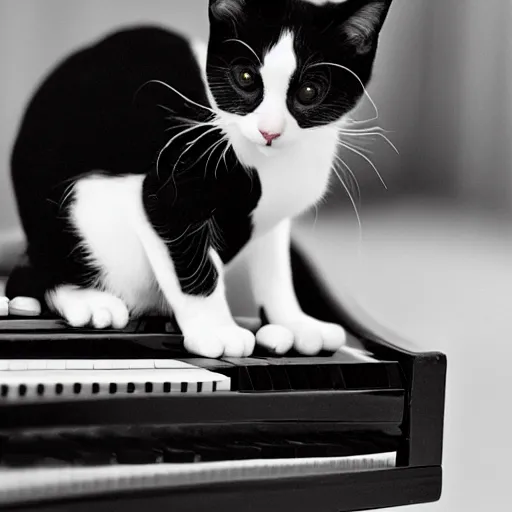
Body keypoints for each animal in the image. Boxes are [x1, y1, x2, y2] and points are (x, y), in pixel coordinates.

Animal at [8, 0, 394, 358]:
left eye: (310, 91)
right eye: (245, 78)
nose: (270, 131)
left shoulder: (274, 218)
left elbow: (276, 269)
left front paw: (293, 322)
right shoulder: (165, 190)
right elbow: (195, 267)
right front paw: (215, 331)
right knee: (31, 274)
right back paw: (87, 302)